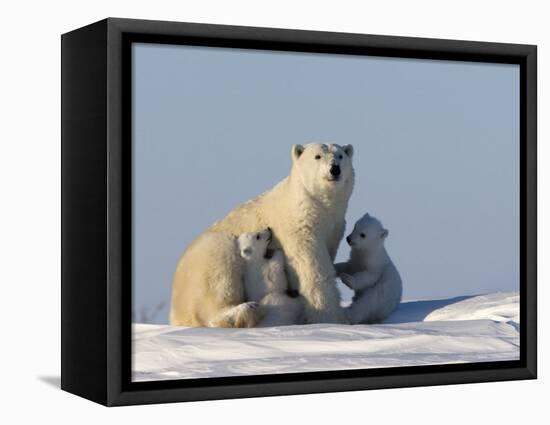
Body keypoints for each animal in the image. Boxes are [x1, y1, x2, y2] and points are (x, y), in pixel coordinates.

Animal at [170, 142, 356, 324]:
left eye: (340, 155)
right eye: (317, 156)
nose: (335, 169)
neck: (313, 205)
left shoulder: (333, 228)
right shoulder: (298, 228)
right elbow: (312, 268)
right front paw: (330, 317)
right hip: (207, 261)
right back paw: (245, 309)